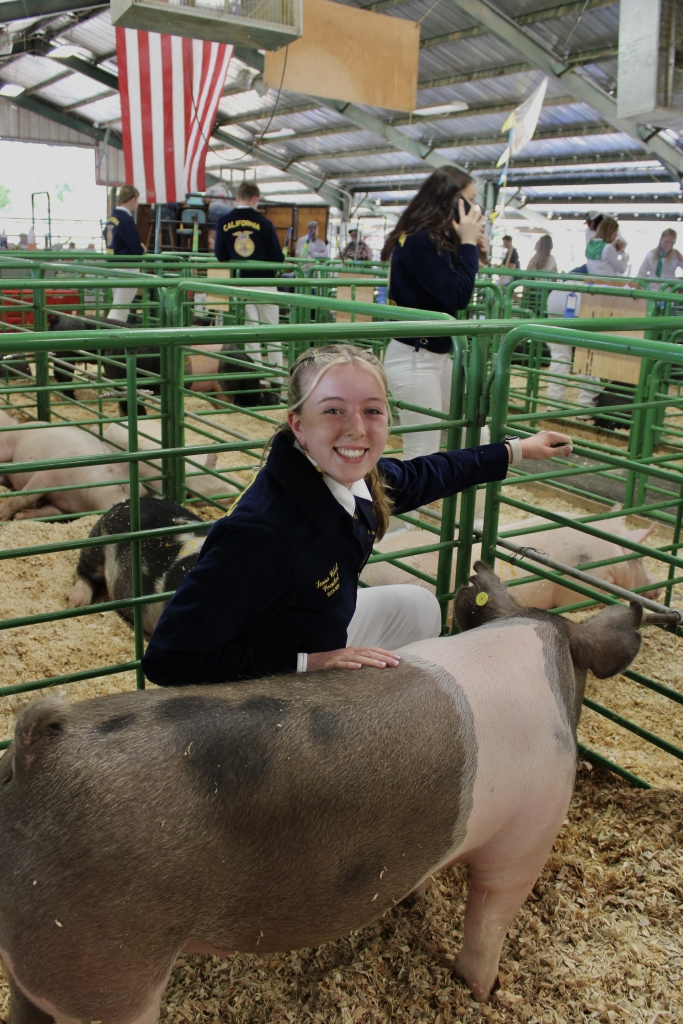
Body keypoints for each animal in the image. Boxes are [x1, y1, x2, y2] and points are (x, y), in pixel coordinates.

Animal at [0, 409, 137, 520]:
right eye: (121, 486)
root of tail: (17, 426)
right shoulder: (47, 474)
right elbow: (24, 498)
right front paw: (3, 516)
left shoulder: (65, 509)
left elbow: (50, 512)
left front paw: (19, 517)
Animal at [0, 565, 651, 1019]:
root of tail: (37, 751)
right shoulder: (528, 833)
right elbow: (490, 917)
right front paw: (485, 991)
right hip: (109, 968)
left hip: (36, 964)